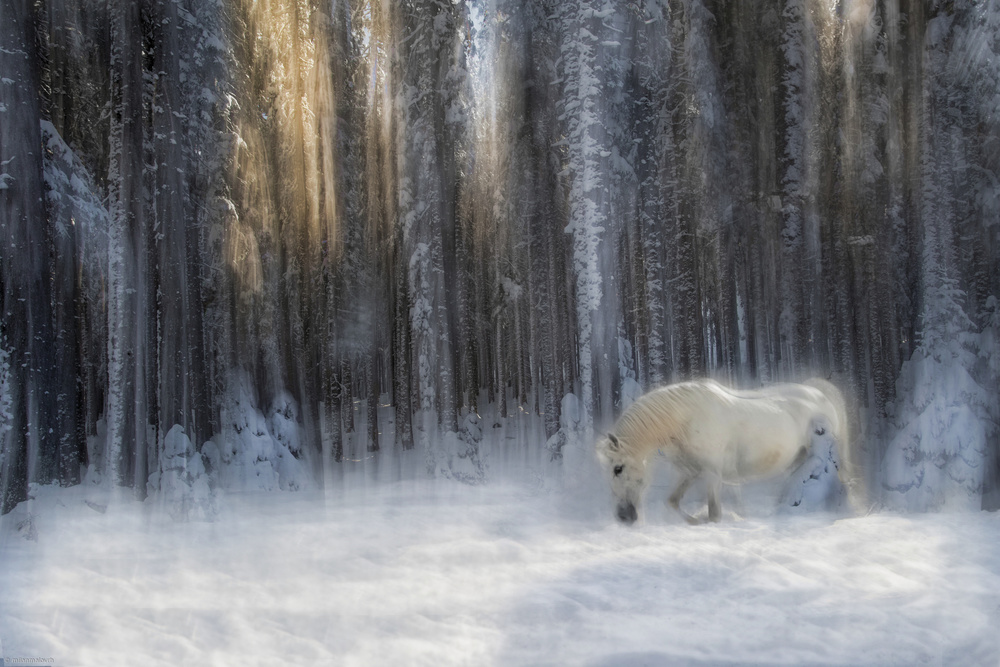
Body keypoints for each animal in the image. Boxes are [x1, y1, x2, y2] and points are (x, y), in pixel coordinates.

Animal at [592, 378, 860, 524]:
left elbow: (715, 515)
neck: (686, 419)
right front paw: (696, 522)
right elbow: (672, 503)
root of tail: (819, 393)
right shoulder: (689, 473)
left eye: (618, 468)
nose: (624, 517)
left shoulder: (712, 476)